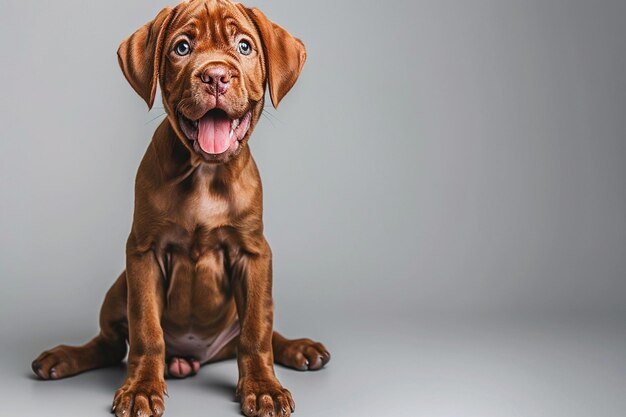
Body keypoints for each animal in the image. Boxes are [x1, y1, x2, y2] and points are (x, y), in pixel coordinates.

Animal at [31, 1, 330, 414]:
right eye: (182, 48)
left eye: (244, 46)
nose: (216, 76)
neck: (204, 171)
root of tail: (199, 356)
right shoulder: (143, 252)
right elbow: (146, 330)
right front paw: (141, 388)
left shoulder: (254, 253)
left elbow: (256, 332)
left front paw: (263, 388)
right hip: (118, 288)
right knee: (109, 344)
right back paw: (66, 357)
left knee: (264, 332)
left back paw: (299, 348)